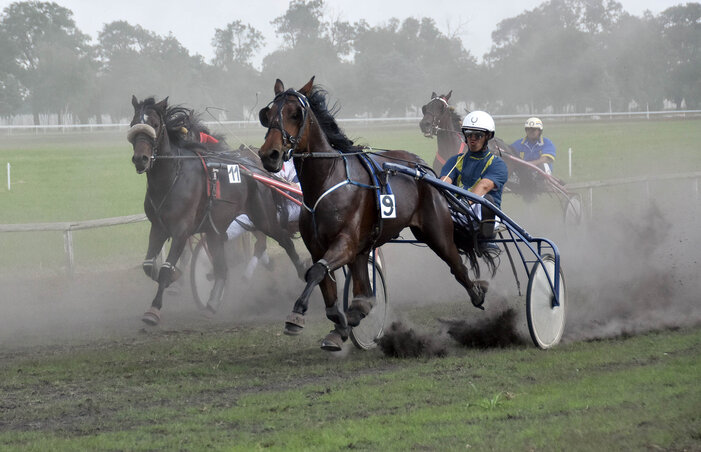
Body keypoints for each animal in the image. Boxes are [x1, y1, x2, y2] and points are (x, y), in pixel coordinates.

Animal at [129, 96, 306, 324]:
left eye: (155, 124)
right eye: (134, 124)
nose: (140, 158)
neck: (173, 176)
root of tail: (255, 170)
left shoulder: (181, 230)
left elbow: (166, 269)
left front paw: (154, 310)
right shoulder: (159, 227)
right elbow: (149, 266)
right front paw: (174, 280)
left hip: (264, 219)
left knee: (284, 242)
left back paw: (302, 272)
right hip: (218, 230)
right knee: (223, 267)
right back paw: (212, 303)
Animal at [258, 77, 492, 352]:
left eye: (296, 113)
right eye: (268, 114)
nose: (269, 154)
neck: (326, 180)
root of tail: (423, 168)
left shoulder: (345, 242)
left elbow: (316, 272)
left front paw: (296, 316)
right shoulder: (320, 246)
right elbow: (324, 280)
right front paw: (339, 325)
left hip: (436, 233)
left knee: (457, 265)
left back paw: (477, 292)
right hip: (366, 246)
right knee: (363, 291)